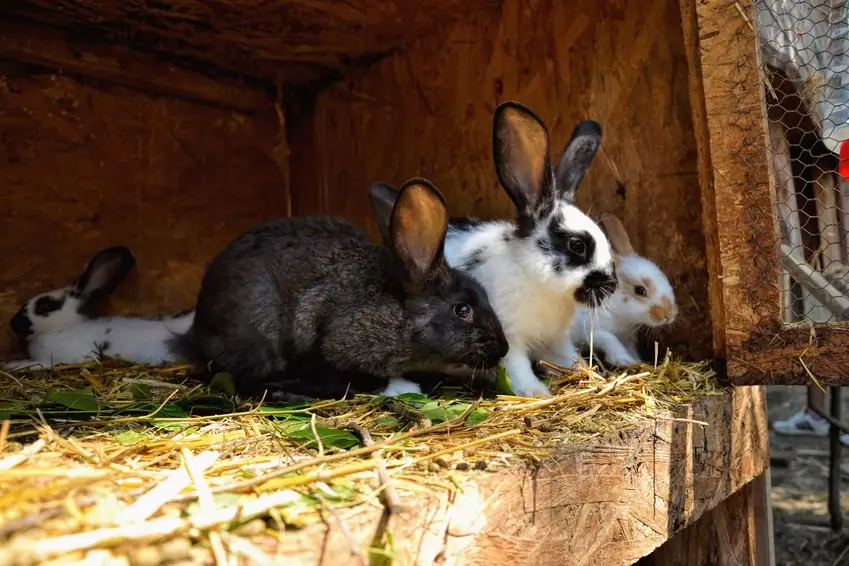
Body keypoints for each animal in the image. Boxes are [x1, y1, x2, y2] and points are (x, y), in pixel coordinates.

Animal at [440, 101, 612, 400]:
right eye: (577, 245)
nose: (612, 285)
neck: (534, 280)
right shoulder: (507, 338)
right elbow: (517, 368)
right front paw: (536, 392)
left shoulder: (556, 339)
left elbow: (567, 358)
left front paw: (587, 373)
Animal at [568, 214, 684, 368]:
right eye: (640, 290)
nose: (670, 315)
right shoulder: (589, 330)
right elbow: (609, 339)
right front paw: (623, 360)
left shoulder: (627, 339)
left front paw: (637, 361)